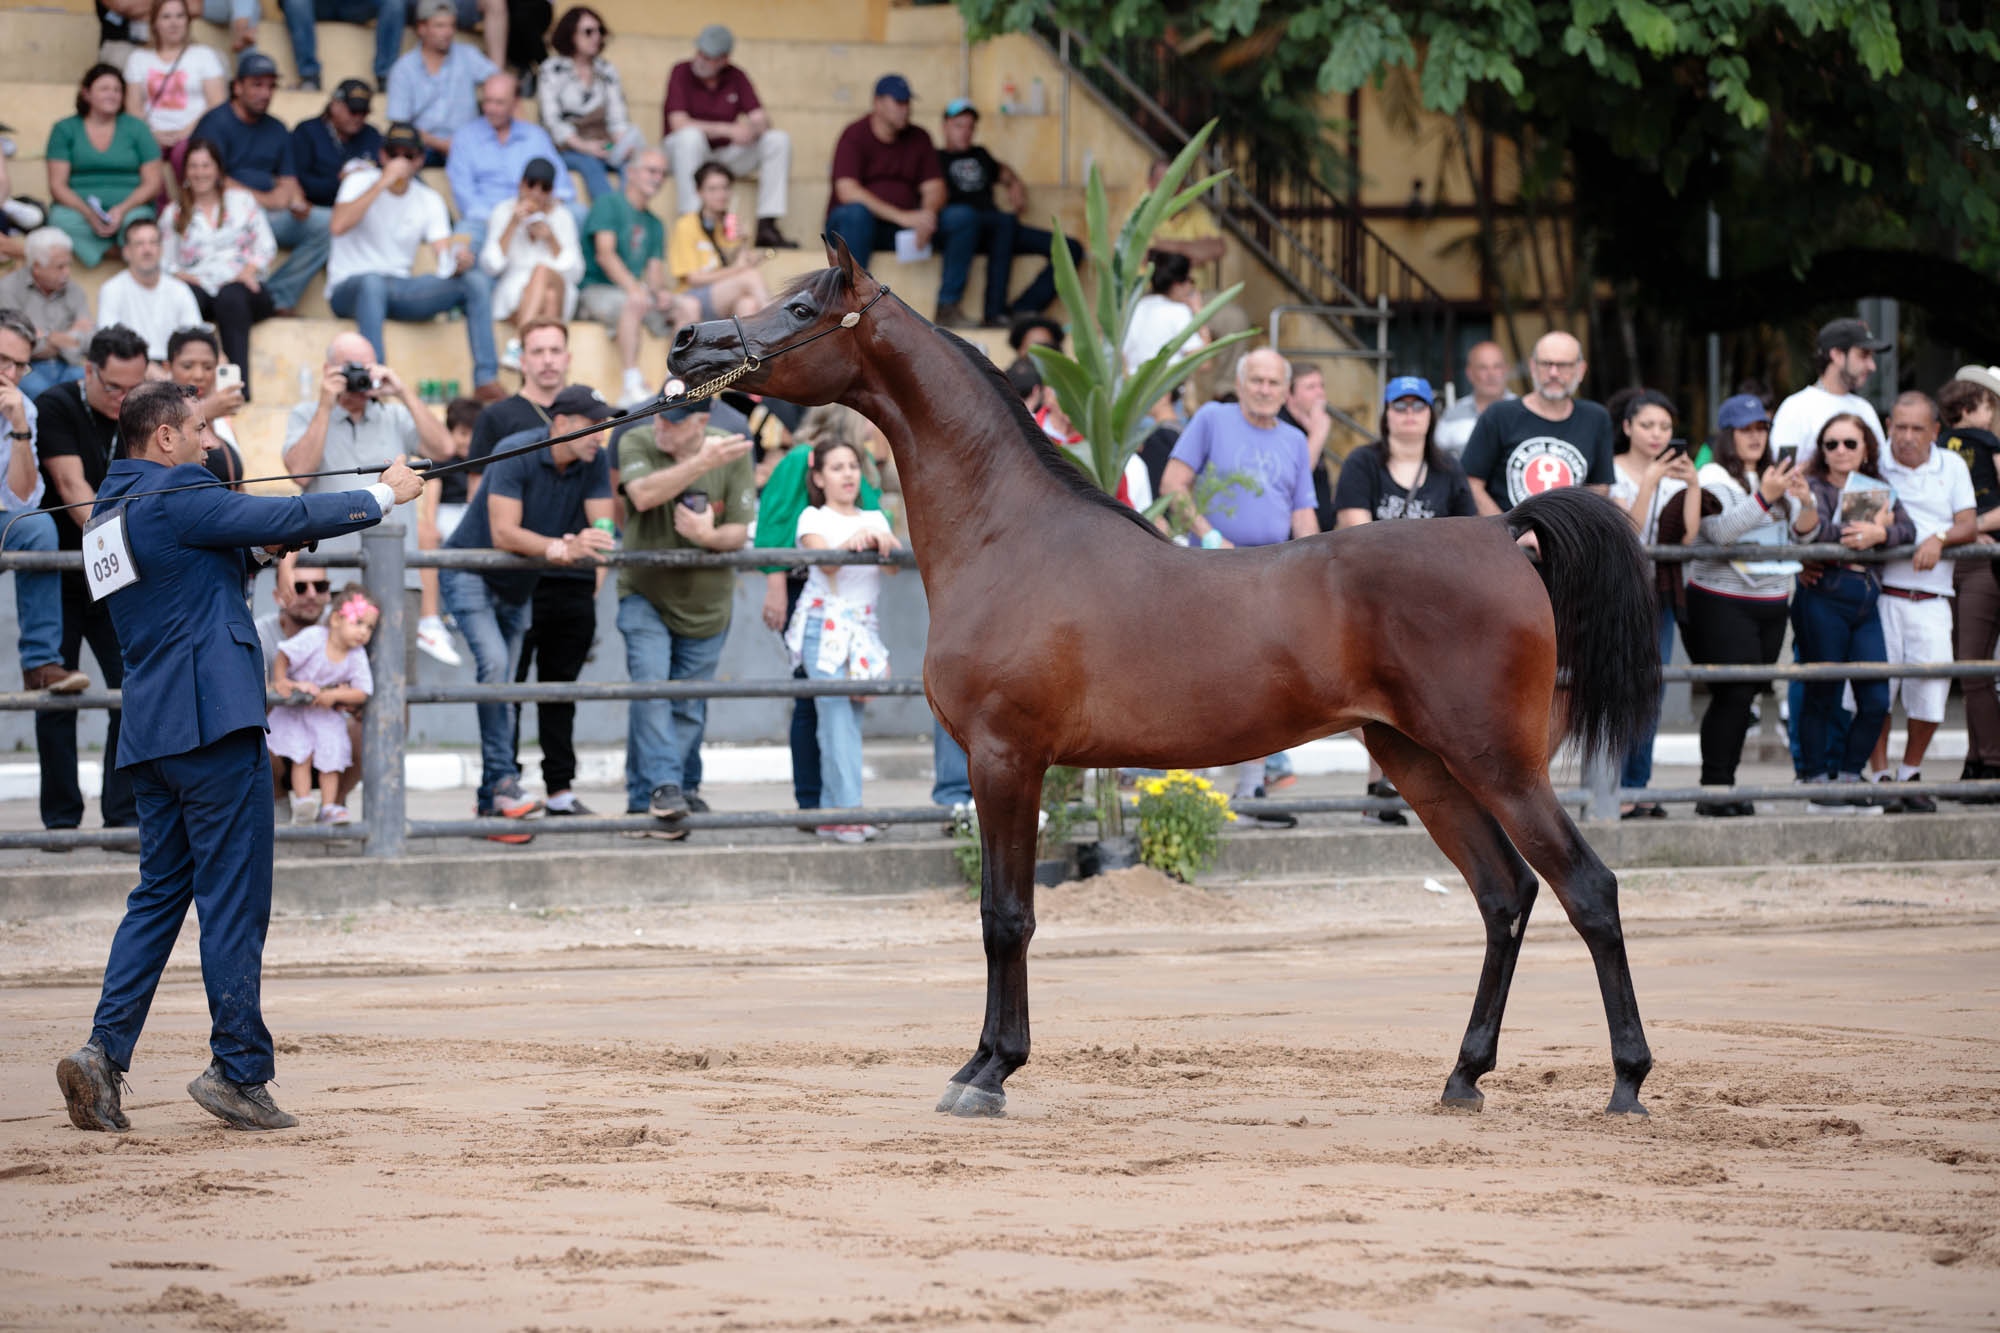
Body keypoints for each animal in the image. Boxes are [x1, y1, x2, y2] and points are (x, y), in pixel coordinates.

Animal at [664, 236, 1664, 1112]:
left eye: (802, 308)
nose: (685, 343)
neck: (1008, 536)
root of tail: (1501, 529)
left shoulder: (1006, 758)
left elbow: (1006, 915)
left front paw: (991, 1072)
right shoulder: (1003, 764)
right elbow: (996, 912)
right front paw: (980, 1060)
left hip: (1495, 760)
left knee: (1588, 891)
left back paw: (1626, 1082)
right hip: (1419, 760)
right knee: (1505, 896)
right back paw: (1464, 1075)